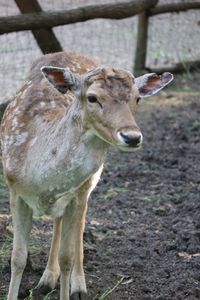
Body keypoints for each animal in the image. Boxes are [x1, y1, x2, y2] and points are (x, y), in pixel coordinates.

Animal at [0, 51, 173, 300]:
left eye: (137, 98)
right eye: (92, 98)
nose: (132, 136)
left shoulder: (77, 193)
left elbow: (67, 257)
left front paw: (70, 287)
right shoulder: (14, 190)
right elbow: (18, 258)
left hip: (89, 185)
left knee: (78, 225)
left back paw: (77, 286)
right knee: (58, 220)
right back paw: (46, 279)